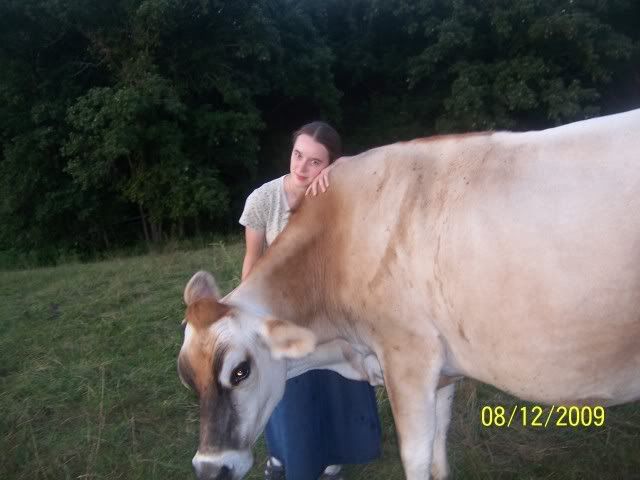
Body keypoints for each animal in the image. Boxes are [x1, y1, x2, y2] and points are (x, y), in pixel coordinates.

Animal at [178, 108, 640, 480]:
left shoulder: (408, 356)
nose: (210, 468)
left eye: (241, 371)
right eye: (187, 378)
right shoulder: (443, 371)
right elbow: (438, 450)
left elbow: (415, 456)